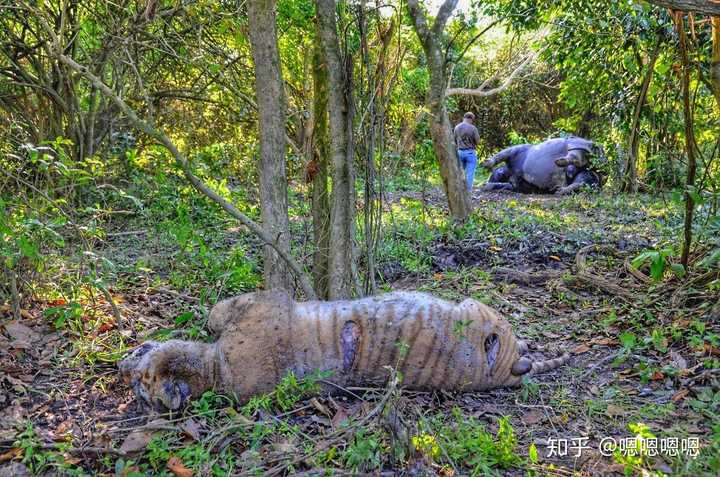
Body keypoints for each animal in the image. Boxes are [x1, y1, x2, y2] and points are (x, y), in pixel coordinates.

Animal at [119, 290, 568, 410]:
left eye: (143, 384)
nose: (125, 372)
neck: (214, 371)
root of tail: (509, 369)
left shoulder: (257, 302)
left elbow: (215, 312)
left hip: (480, 308)